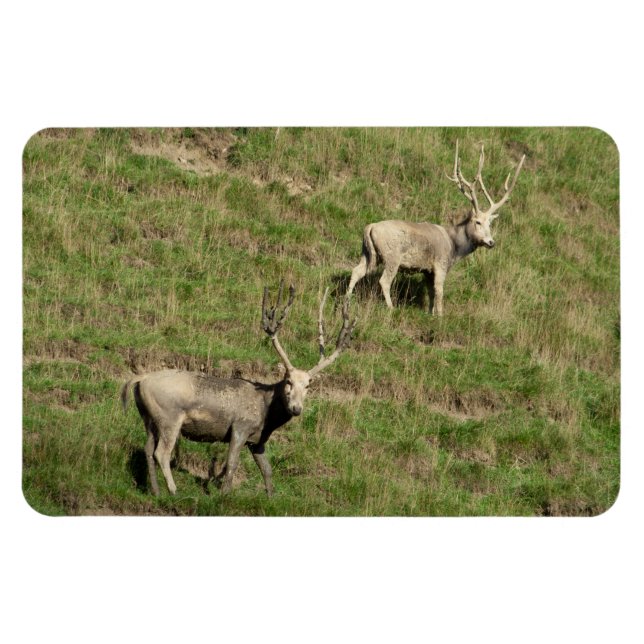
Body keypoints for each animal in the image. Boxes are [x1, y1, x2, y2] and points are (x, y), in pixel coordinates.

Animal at [121, 283, 356, 497]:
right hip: (169, 416)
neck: (266, 415)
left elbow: (267, 470)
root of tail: (140, 379)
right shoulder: (240, 426)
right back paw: (173, 490)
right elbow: (231, 465)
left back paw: (155, 491)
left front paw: (270, 498)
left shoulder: (257, 440)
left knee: (148, 449)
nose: (296, 408)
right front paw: (224, 496)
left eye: (308, 385)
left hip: (148, 417)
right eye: (288, 381)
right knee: (161, 452)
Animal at [345, 141, 525, 315]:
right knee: (384, 280)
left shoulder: (427, 270)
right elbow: (439, 292)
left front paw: (430, 313)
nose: (491, 242)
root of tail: (369, 227)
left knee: (356, 271)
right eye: (478, 222)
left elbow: (431, 292)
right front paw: (439, 316)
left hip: (368, 253)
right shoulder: (440, 263)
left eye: (490, 224)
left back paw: (347, 299)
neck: (455, 248)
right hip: (392, 256)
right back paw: (391, 308)